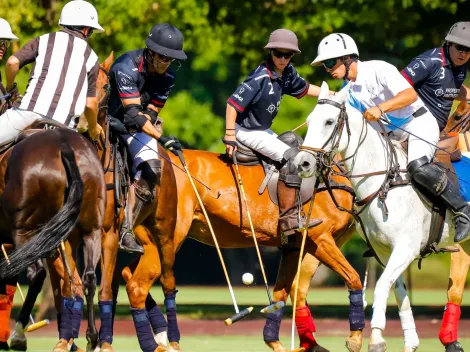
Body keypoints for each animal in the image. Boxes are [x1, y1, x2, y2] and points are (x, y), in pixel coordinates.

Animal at [292, 81, 468, 350]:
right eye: (310, 121)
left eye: (330, 122)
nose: (302, 163)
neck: (383, 182)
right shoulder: (385, 251)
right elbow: (398, 290)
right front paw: (406, 341)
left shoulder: (406, 247)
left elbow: (383, 285)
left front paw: (376, 338)